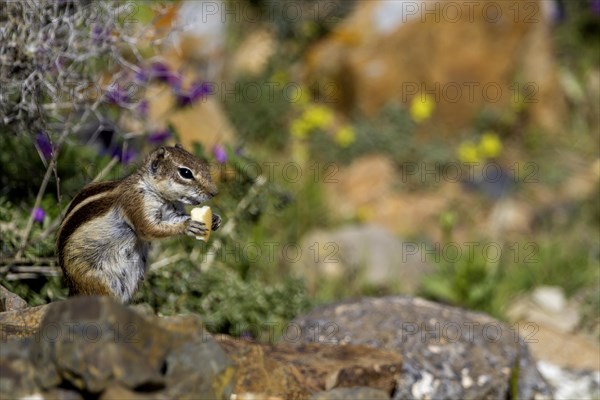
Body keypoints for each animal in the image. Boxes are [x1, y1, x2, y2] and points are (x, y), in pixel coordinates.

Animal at [55, 145, 220, 302]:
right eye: (185, 173)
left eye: (203, 165)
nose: (214, 193)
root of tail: (73, 288)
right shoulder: (136, 203)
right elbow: (148, 228)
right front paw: (187, 226)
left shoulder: (172, 212)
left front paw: (215, 219)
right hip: (97, 282)